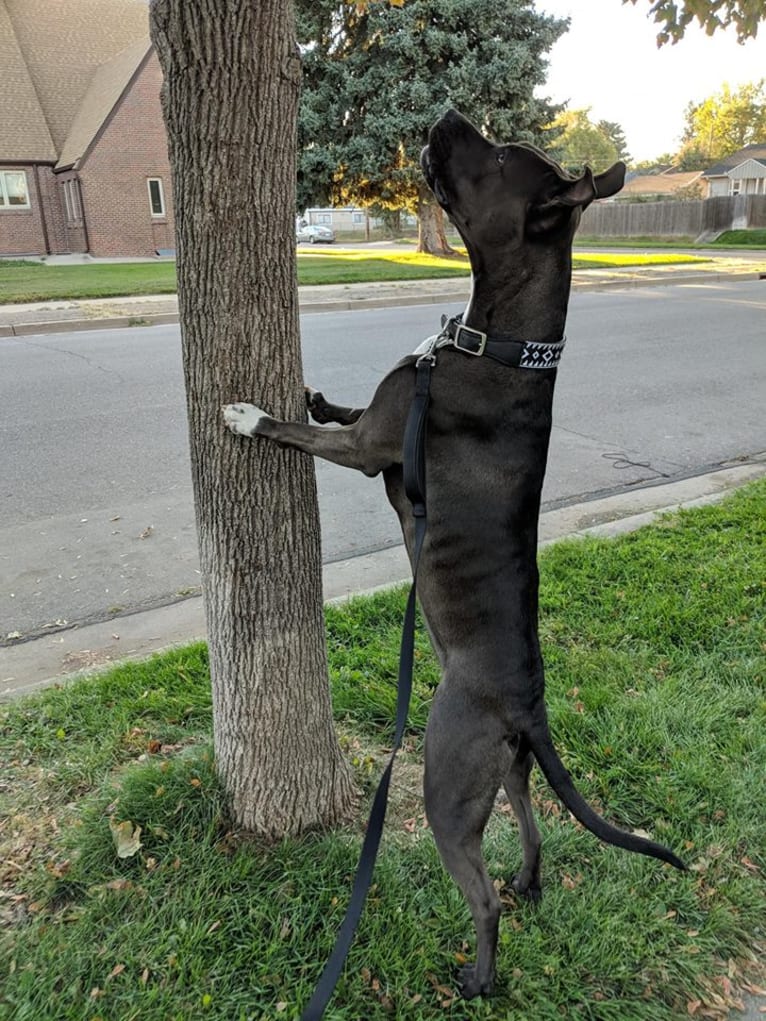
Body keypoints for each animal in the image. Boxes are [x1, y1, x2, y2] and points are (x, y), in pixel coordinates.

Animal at [221, 109, 682, 996]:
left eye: (499, 157)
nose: (447, 118)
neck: (495, 343)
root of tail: (527, 706)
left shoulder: (369, 447)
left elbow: (305, 433)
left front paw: (251, 413)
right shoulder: (382, 416)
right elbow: (343, 405)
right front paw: (313, 392)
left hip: (446, 781)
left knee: (480, 895)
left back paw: (478, 975)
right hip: (506, 774)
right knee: (535, 829)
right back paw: (531, 884)